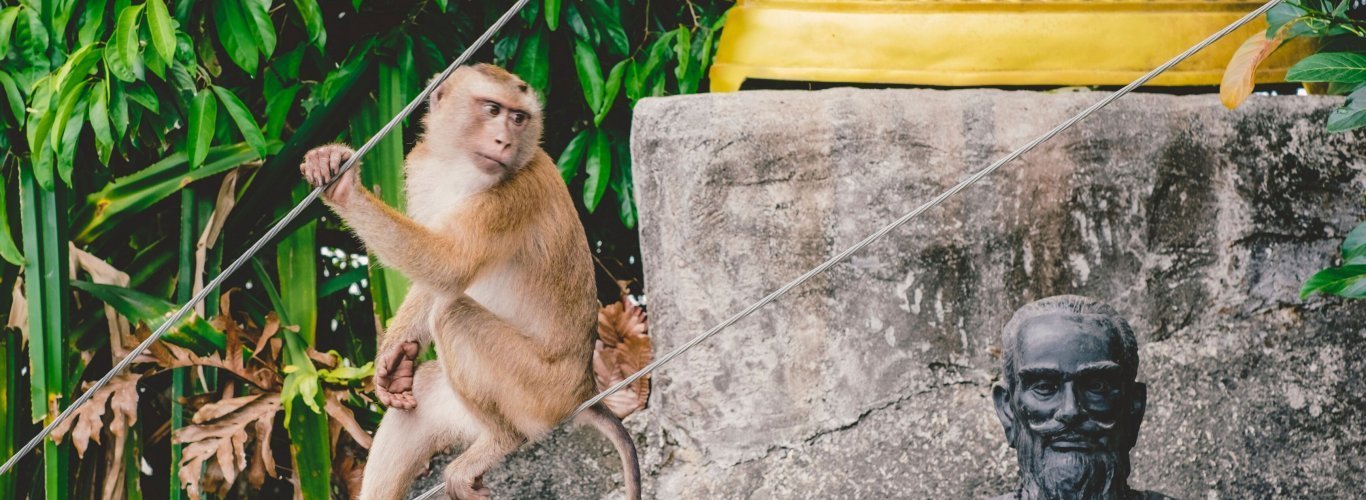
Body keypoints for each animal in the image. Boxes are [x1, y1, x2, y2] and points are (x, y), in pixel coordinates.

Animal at [299, 63, 639, 500]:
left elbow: (448, 267)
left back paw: (503, 440)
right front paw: (393, 358)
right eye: (492, 109)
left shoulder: (513, 195)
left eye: (518, 117)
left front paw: (345, 190)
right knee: (425, 396)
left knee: (453, 315)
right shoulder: (422, 168)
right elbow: (434, 278)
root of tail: (585, 389)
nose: (504, 140)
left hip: (538, 393)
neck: (459, 167)